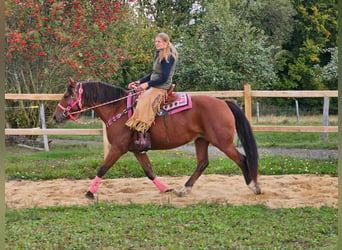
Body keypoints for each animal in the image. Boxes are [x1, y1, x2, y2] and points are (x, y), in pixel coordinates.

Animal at [52, 78, 262, 199]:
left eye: (66, 95)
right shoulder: (137, 149)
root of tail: (224, 102)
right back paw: (184, 189)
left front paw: (89, 193)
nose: (55, 116)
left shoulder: (118, 148)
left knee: (242, 159)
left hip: (223, 142)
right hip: (201, 140)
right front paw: (165, 189)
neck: (118, 108)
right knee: (202, 163)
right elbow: (149, 171)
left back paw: (253, 186)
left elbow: (103, 168)